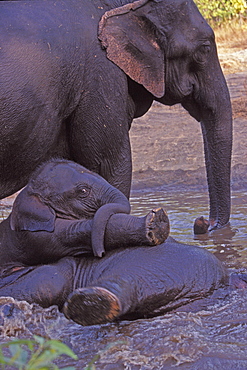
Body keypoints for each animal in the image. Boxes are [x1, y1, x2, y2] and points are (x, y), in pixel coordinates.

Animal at [0, 159, 170, 266]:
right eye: (83, 191)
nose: (100, 254)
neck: (29, 189)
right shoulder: (35, 237)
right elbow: (72, 232)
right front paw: (156, 222)